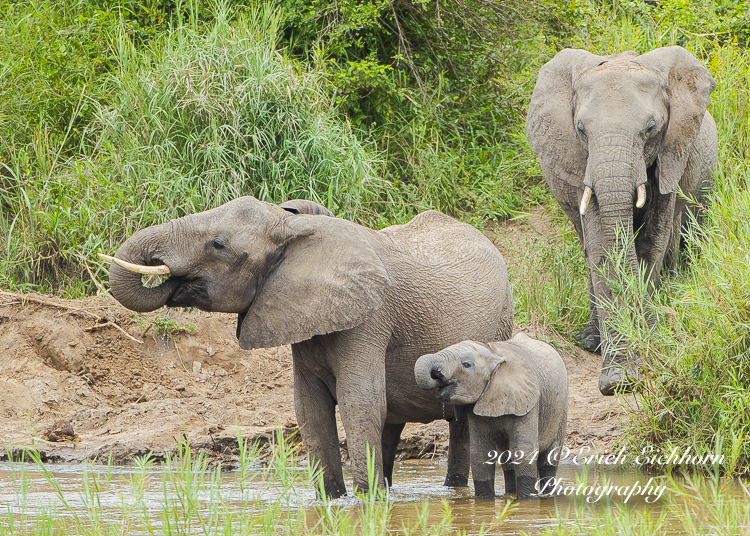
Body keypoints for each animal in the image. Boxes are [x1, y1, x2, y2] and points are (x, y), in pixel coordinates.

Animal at [104, 197, 516, 498]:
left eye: (218, 245)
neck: (292, 229)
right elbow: (310, 409)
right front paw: (332, 501)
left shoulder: (369, 319)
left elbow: (358, 403)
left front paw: (366, 504)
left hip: (500, 321)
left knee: (459, 424)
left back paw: (451, 493)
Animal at [414, 332, 568, 500]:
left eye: (466, 364)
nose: (437, 376)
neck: (493, 352)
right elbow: (480, 454)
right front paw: (484, 501)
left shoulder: (529, 403)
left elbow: (523, 451)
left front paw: (527, 501)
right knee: (507, 460)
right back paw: (510, 494)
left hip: (561, 410)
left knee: (549, 459)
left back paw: (547, 495)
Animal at [524, 46, 720, 396]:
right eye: (580, 130)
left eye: (651, 128)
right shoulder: (583, 165)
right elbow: (602, 248)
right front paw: (619, 380)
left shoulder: (669, 153)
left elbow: (651, 243)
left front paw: (649, 347)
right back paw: (591, 342)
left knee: (686, 236)